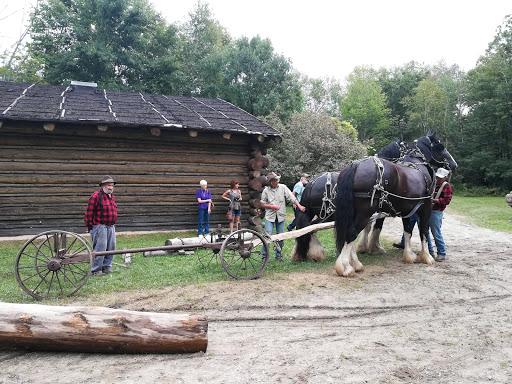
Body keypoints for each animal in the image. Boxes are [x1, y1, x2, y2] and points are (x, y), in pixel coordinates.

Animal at [334, 132, 458, 276]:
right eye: (440, 147)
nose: (453, 164)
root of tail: (355, 165)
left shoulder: (406, 210)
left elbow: (407, 230)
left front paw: (408, 255)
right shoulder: (426, 206)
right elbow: (424, 231)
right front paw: (426, 256)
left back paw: (355, 263)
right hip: (365, 212)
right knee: (351, 233)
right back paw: (345, 266)